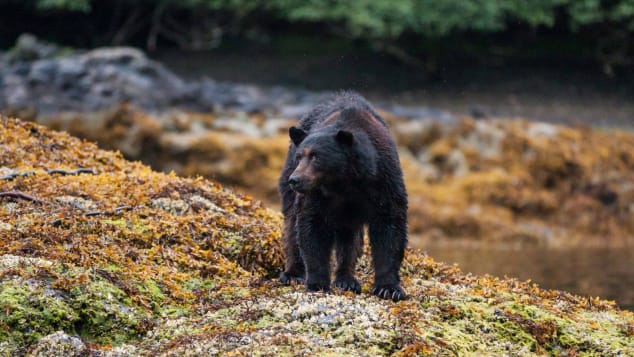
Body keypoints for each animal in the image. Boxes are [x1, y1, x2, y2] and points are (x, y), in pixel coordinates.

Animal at [278, 90, 408, 298]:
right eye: (300, 156)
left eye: (316, 156)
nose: (295, 179)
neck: (344, 182)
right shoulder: (316, 195)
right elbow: (311, 226)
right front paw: (318, 283)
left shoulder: (383, 180)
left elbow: (390, 226)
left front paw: (389, 288)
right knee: (291, 223)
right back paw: (293, 273)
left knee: (350, 239)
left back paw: (346, 279)